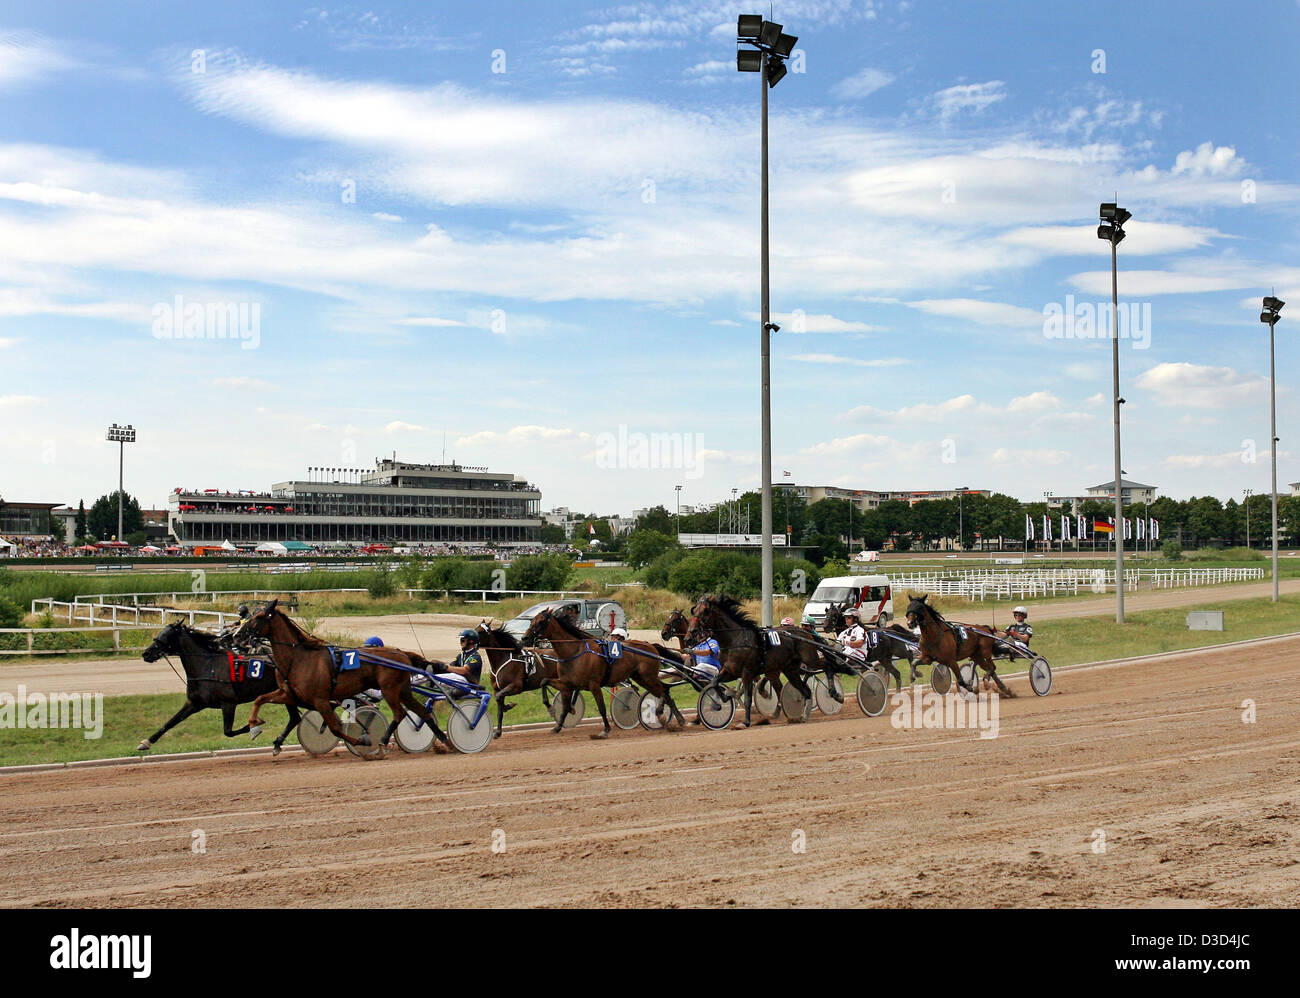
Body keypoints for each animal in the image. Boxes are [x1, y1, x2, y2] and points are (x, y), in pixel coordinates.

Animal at [137, 618, 301, 753]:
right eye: (160, 633)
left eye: (166, 636)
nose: (146, 653)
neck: (208, 667)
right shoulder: (194, 703)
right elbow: (170, 722)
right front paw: (146, 742)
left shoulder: (228, 703)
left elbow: (228, 731)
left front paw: (255, 725)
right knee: (294, 719)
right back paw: (278, 743)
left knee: (295, 718)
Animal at [236, 600, 454, 758]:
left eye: (259, 617)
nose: (238, 635)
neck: (298, 658)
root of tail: (402, 653)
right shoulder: (288, 693)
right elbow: (259, 700)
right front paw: (254, 727)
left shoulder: (320, 700)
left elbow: (335, 728)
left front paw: (362, 741)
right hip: (403, 690)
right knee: (421, 712)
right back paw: (445, 741)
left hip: (389, 689)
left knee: (399, 714)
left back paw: (383, 741)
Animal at [517, 602, 686, 738]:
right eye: (532, 620)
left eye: (540, 622)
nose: (524, 638)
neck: (574, 652)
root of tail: (651, 645)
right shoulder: (567, 684)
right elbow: (549, 688)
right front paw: (556, 721)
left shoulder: (594, 685)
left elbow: (602, 708)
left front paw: (605, 729)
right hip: (641, 678)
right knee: (664, 691)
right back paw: (674, 718)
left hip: (648, 677)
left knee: (664, 691)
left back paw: (670, 716)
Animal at [681, 592, 821, 727]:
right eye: (694, 610)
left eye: (705, 611)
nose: (690, 635)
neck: (735, 640)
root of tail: (804, 632)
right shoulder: (730, 671)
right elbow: (714, 682)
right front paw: (726, 697)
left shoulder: (747, 672)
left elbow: (748, 698)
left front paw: (746, 722)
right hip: (789, 669)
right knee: (804, 690)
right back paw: (801, 715)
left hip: (807, 660)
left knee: (820, 669)